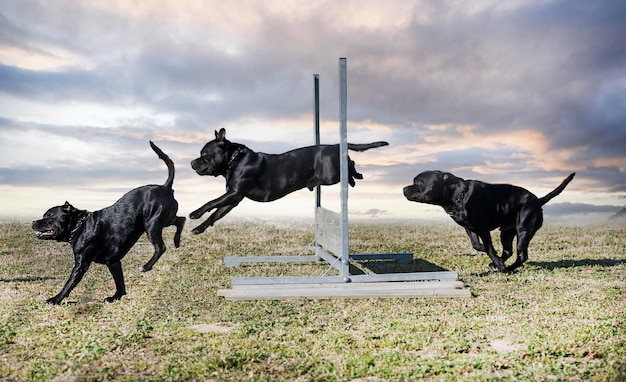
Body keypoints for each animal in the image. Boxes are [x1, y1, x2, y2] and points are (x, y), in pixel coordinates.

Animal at [32, 142, 183, 306]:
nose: (33, 222)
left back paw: (146, 266)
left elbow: (69, 284)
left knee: (160, 247)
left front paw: (56, 299)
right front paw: (116, 297)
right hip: (164, 220)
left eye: (48, 217)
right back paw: (177, 241)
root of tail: (166, 187)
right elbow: (120, 283)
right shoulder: (113, 262)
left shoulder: (81, 265)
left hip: (152, 224)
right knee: (181, 220)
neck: (79, 226)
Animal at [188, 128, 388, 233]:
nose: (191, 162)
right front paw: (200, 227)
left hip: (331, 175)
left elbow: (211, 202)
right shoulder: (233, 199)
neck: (234, 159)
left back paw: (355, 177)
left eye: (204, 154)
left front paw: (195, 213)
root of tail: (336, 145)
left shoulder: (234, 193)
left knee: (350, 163)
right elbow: (215, 213)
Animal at [402, 170, 572, 272]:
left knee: (521, 255)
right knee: (508, 250)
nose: (403, 188)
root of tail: (538, 201)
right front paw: (495, 259)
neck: (457, 196)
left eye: (419, 182)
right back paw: (500, 263)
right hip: (506, 232)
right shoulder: (470, 228)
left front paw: (497, 261)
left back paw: (507, 268)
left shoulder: (482, 228)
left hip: (523, 230)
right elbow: (477, 245)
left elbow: (489, 248)